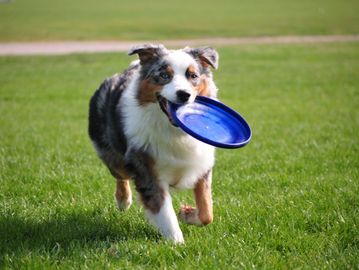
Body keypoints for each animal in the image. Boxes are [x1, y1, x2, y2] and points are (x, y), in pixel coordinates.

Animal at [89, 43, 221, 243]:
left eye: (193, 76)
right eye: (164, 75)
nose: (184, 94)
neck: (174, 131)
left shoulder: (201, 163)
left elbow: (207, 213)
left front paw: (187, 214)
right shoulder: (147, 170)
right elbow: (165, 212)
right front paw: (177, 243)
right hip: (114, 157)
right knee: (120, 175)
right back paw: (123, 201)